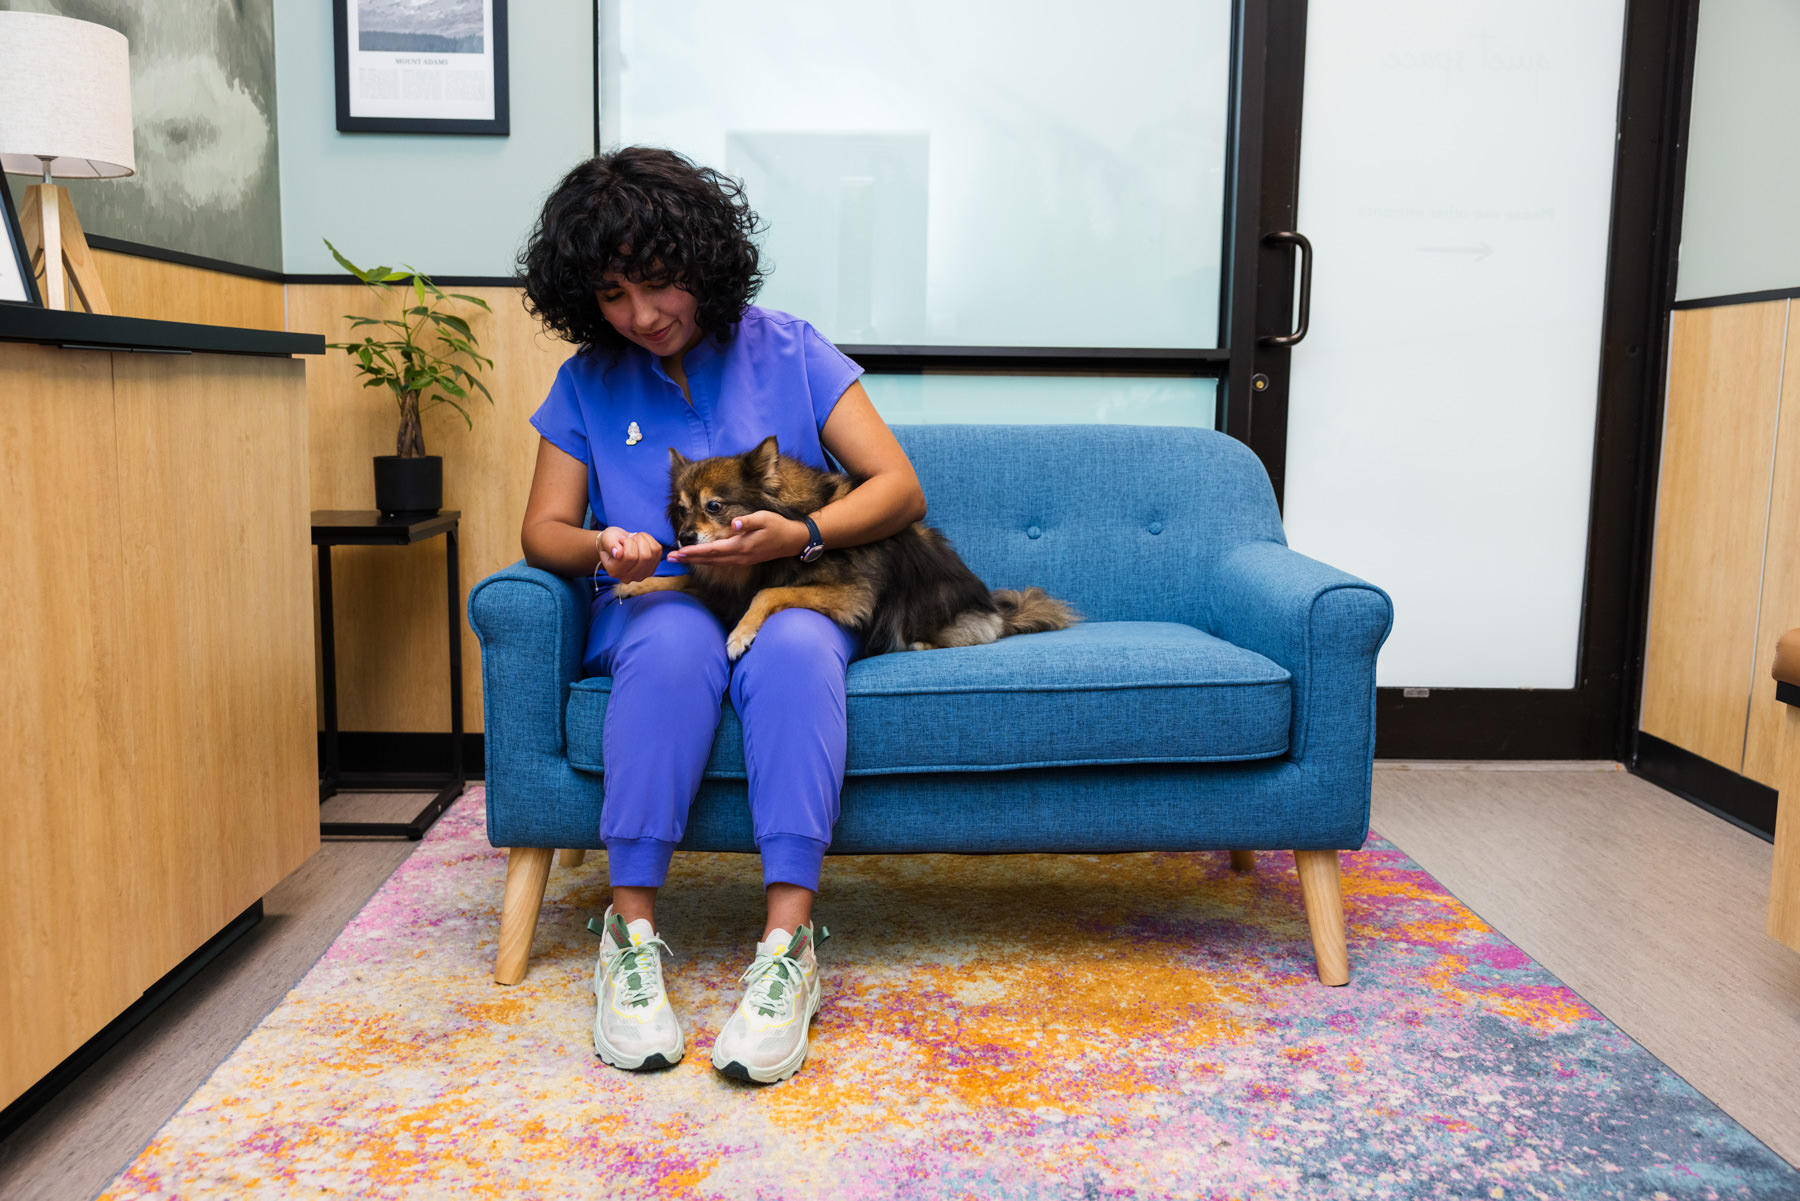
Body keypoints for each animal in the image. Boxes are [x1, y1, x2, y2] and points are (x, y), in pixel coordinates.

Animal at [612, 433, 1072, 659]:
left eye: (715, 506)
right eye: (682, 510)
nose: (685, 538)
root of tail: (999, 612)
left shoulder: (849, 596)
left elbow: (767, 592)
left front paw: (740, 634)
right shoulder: (722, 586)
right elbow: (675, 581)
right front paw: (633, 584)